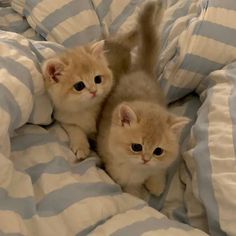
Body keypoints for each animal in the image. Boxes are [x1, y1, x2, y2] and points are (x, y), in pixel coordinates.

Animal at [97, 0, 189, 200]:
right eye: (136, 147)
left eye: (158, 151)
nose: (146, 159)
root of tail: (142, 71)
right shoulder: (119, 170)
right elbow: (131, 188)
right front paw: (138, 194)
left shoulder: (160, 164)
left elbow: (158, 171)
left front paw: (156, 185)